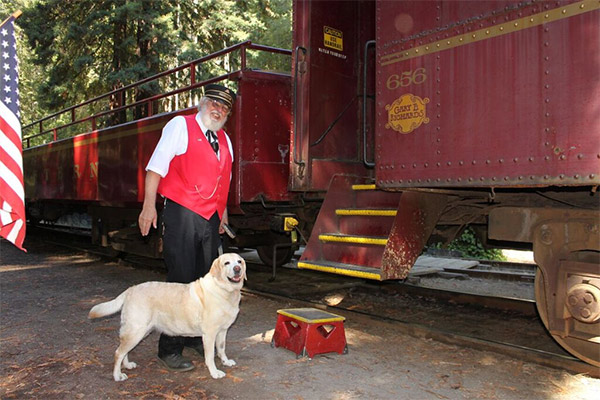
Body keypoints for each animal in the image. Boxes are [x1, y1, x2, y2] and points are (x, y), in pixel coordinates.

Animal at [87, 253, 246, 382]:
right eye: (226, 263)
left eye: (239, 261)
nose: (237, 269)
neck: (225, 291)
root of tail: (130, 290)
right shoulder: (210, 333)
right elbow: (210, 355)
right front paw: (214, 372)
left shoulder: (222, 331)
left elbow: (221, 348)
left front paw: (225, 361)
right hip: (136, 330)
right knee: (118, 353)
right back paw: (117, 375)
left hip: (140, 331)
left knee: (124, 350)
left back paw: (127, 365)